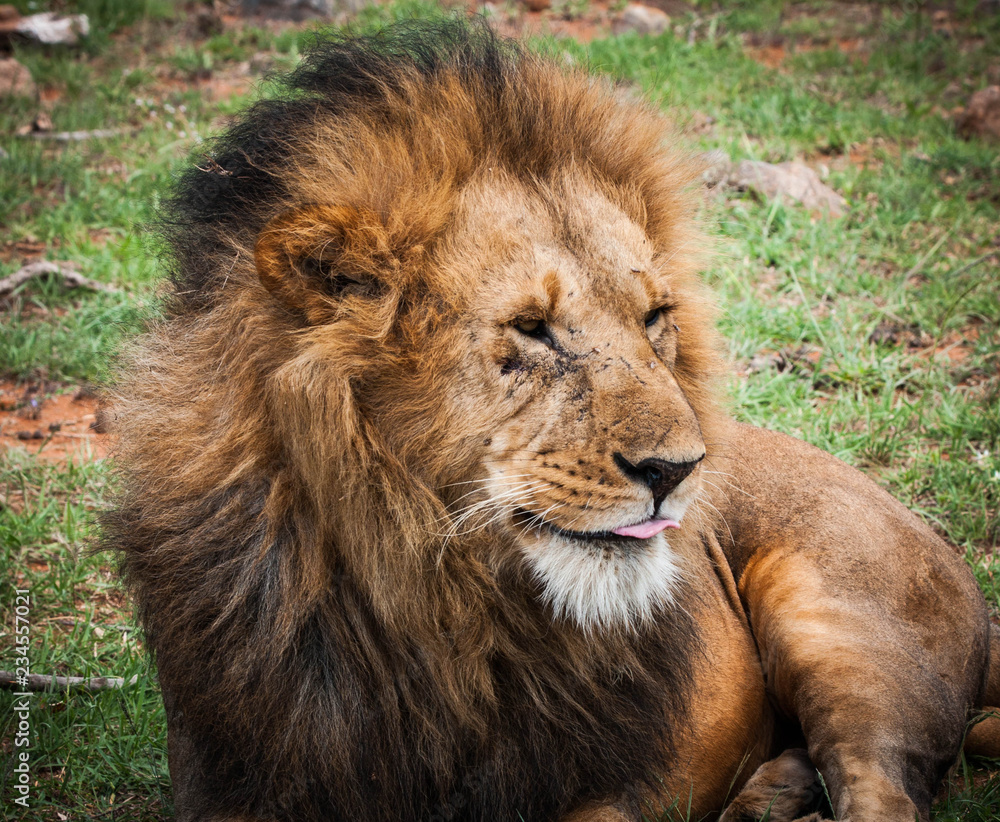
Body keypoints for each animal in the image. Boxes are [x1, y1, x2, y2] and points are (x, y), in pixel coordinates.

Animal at [103, 19, 1000, 822]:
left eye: (654, 318)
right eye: (532, 328)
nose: (677, 471)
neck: (428, 601)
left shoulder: (614, 790)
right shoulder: (235, 780)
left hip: (845, 629)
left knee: (887, 791)